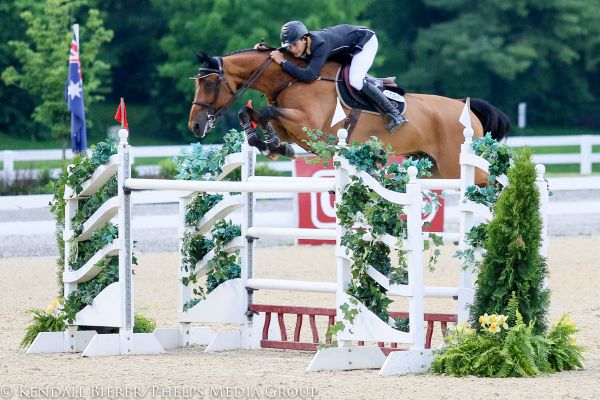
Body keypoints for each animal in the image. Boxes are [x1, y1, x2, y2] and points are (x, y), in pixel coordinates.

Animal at [189, 46, 510, 181]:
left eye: (209, 83)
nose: (195, 126)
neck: (293, 78)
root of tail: (466, 109)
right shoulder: (291, 126)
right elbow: (255, 115)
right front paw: (269, 145)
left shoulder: (309, 125)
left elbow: (267, 111)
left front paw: (269, 145)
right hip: (435, 168)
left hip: (459, 167)